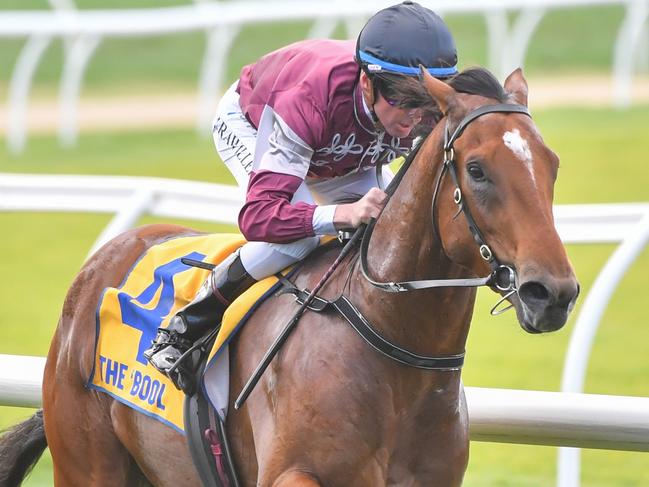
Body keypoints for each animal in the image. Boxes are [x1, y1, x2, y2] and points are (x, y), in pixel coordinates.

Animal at [0, 66, 576, 487]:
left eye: (552, 165)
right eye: (476, 170)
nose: (552, 293)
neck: (395, 348)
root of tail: (107, 257)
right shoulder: (292, 473)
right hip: (86, 462)